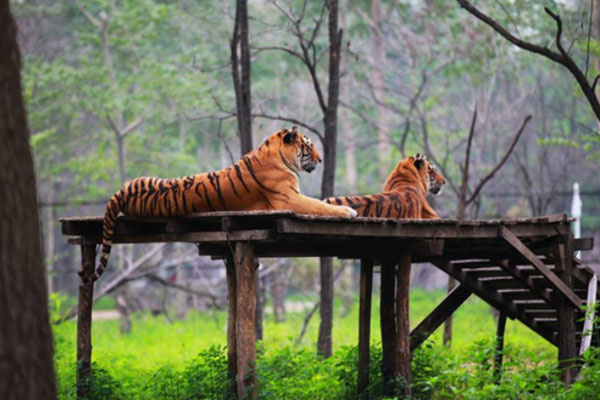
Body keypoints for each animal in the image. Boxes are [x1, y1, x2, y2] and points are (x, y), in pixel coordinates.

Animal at [87, 126, 358, 282]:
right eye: (309, 145)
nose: (320, 160)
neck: (273, 151)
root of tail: (121, 191)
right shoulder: (289, 199)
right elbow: (320, 205)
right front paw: (348, 210)